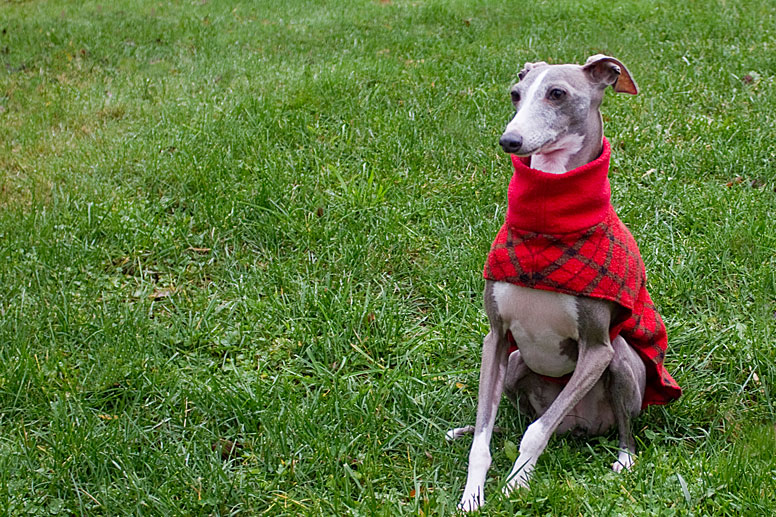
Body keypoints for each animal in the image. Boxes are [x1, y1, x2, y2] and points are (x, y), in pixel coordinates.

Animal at [448, 55, 680, 508]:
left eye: (557, 93)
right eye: (515, 94)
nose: (510, 140)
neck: (547, 226)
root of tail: (579, 429)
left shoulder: (596, 349)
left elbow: (535, 434)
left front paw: (516, 484)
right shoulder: (496, 339)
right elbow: (483, 438)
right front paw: (472, 496)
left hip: (620, 361)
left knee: (613, 431)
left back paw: (623, 461)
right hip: (516, 364)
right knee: (513, 420)